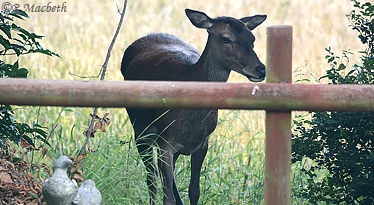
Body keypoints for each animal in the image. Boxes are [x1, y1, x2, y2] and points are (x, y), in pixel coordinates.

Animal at [120, 8, 266, 205]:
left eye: (252, 38)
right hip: (141, 130)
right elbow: (167, 196)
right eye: (226, 39)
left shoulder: (202, 141)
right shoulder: (166, 142)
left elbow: (194, 191)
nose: (260, 69)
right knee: (152, 179)